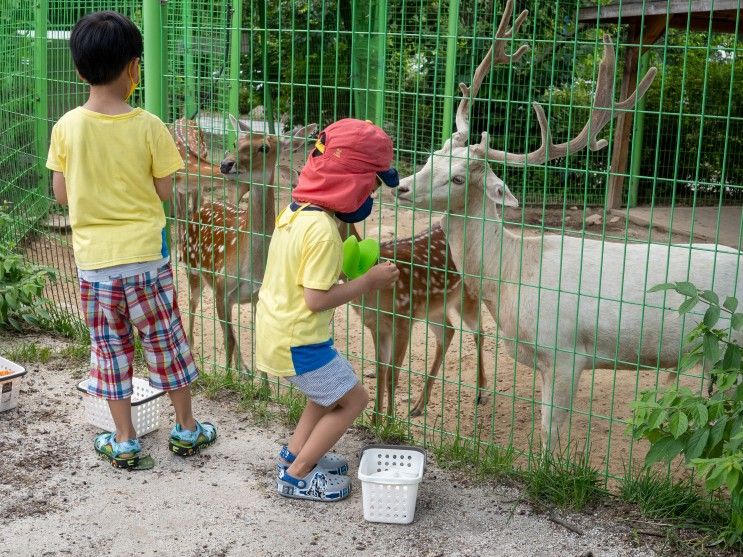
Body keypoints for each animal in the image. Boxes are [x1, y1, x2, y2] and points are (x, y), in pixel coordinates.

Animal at [184, 115, 320, 372]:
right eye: (236, 142)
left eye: (264, 148)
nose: (226, 164)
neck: (250, 267)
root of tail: (202, 204)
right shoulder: (221, 286)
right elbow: (228, 340)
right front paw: (226, 376)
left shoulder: (257, 295)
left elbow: (255, 340)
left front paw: (256, 377)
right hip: (191, 266)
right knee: (191, 305)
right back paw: (191, 348)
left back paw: (243, 369)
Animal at [342, 219, 488, 420]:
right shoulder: (376, 326)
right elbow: (380, 370)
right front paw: (375, 421)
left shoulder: (403, 319)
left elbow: (392, 375)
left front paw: (390, 423)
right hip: (432, 307)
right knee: (448, 331)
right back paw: (419, 405)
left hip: (468, 293)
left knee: (479, 332)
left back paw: (481, 392)